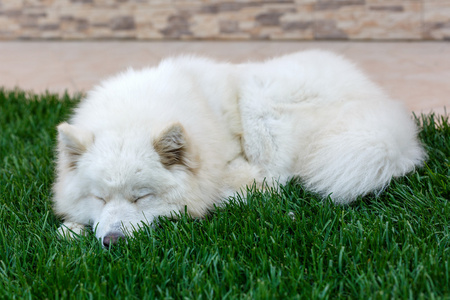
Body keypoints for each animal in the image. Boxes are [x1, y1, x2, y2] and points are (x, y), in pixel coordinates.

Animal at [53, 49, 426, 246]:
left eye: (141, 197)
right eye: (99, 198)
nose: (112, 241)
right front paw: (72, 228)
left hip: (261, 101)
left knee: (275, 179)